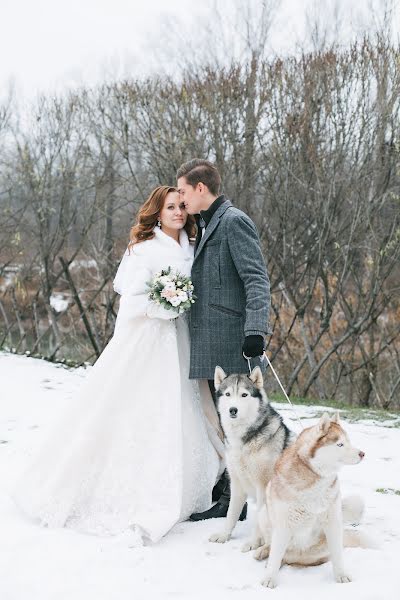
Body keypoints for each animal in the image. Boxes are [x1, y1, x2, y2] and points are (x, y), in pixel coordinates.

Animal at [209, 364, 294, 552]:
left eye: (244, 395)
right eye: (228, 394)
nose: (233, 410)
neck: (244, 440)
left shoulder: (263, 487)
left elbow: (258, 522)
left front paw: (254, 542)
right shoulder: (236, 483)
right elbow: (231, 514)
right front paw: (224, 535)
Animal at [258, 412, 368, 584]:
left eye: (349, 442)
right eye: (340, 444)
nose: (362, 454)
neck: (315, 477)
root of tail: (297, 558)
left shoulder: (333, 522)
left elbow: (338, 555)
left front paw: (341, 575)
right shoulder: (283, 525)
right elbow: (275, 557)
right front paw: (270, 578)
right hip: (264, 515)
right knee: (274, 548)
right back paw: (263, 551)